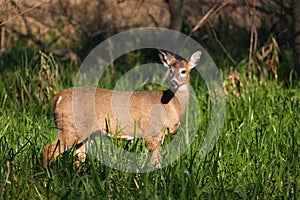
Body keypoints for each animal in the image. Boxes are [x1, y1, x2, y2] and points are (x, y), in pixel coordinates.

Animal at [42, 49, 202, 167]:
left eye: (183, 71)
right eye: (170, 70)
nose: (174, 82)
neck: (173, 104)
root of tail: (58, 97)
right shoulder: (154, 133)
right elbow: (155, 162)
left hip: (82, 132)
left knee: (78, 156)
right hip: (71, 127)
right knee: (48, 149)